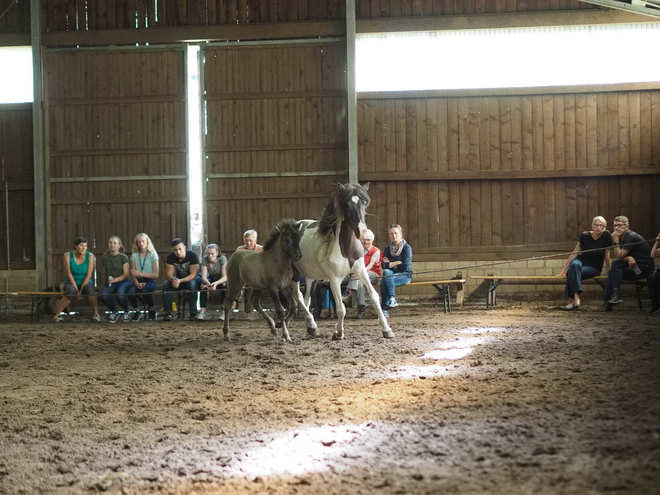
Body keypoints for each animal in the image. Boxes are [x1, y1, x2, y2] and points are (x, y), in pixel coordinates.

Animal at [292, 182, 394, 340]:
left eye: (364, 202)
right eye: (346, 205)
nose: (361, 231)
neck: (345, 249)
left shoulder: (360, 271)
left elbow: (374, 296)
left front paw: (387, 330)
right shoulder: (334, 278)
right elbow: (340, 308)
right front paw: (338, 332)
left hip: (310, 276)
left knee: (306, 300)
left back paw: (310, 328)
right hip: (295, 273)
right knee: (298, 296)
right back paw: (311, 326)